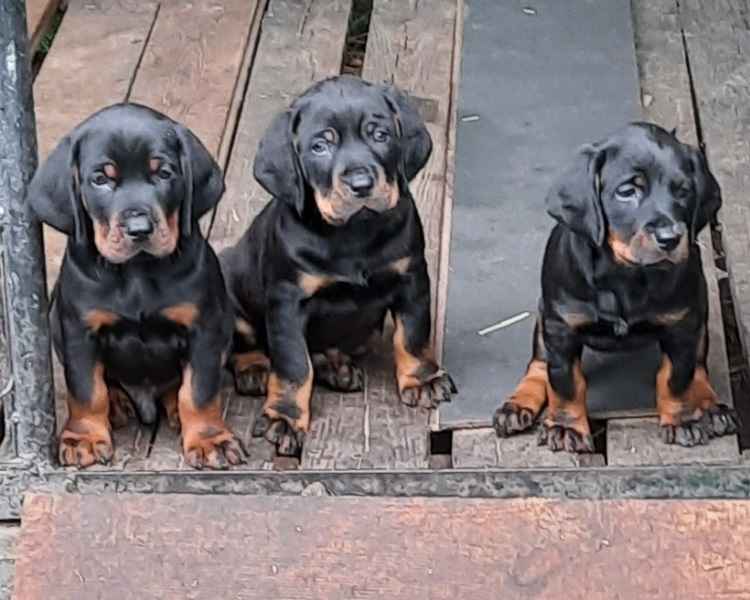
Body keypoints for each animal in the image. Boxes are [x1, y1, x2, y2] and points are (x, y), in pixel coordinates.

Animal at [26, 103, 242, 468]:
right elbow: (87, 390)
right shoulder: (79, 331)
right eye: (101, 179)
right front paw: (83, 437)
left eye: (164, 173)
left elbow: (198, 390)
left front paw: (210, 438)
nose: (139, 229)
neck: (136, 273)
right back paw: (117, 404)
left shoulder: (204, 328)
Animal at [223, 75, 456, 452]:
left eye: (380, 134)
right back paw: (254, 369)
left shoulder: (411, 277)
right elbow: (293, 364)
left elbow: (412, 335)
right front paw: (285, 417)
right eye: (320, 147)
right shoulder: (288, 299)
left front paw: (422, 379)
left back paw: (337, 367)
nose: (361, 185)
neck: (353, 233)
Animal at [494, 120, 740, 450]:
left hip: (698, 312)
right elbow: (565, 383)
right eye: (627, 191)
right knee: (538, 364)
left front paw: (681, 420)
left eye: (684, 191)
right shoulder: (561, 327)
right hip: (545, 315)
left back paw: (711, 406)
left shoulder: (682, 325)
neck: (626, 276)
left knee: (698, 366)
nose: (670, 239)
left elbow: (676, 377)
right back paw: (517, 403)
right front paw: (566, 427)